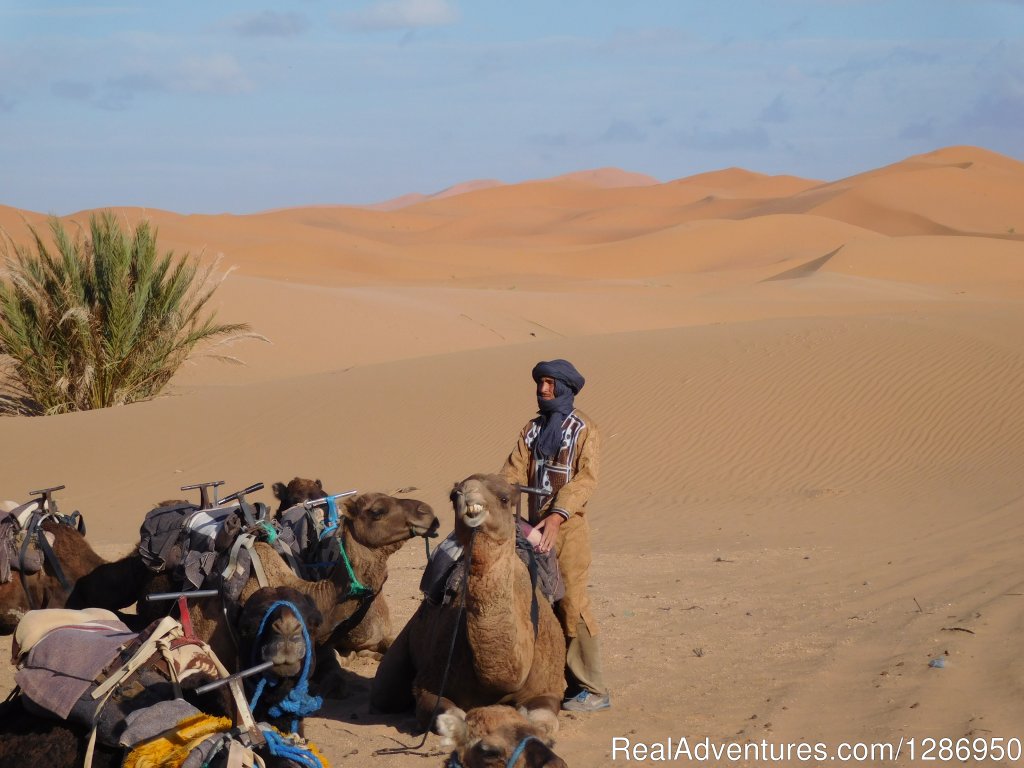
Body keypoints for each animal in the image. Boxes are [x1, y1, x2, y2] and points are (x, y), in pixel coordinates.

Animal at [370, 475, 565, 733]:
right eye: (454, 496)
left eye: (504, 498)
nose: (467, 493)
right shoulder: (430, 682)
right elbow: (450, 715)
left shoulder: (548, 685)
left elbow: (543, 721)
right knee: (385, 694)